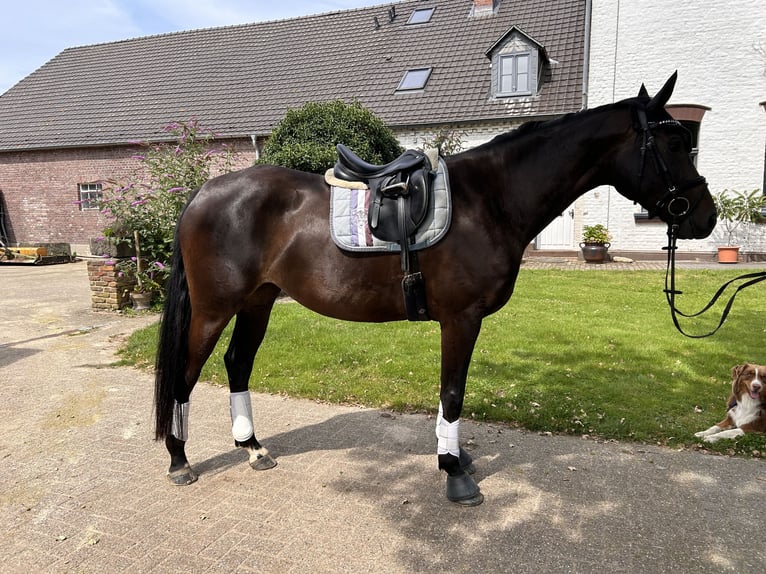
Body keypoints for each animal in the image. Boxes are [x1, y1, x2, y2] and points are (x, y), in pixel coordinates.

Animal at [154, 73, 720, 508]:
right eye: (675, 144)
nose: (706, 217)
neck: (489, 200)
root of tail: (201, 192)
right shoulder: (460, 318)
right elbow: (452, 393)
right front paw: (454, 471)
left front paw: (456, 458)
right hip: (214, 308)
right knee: (185, 374)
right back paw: (180, 461)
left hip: (259, 302)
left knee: (237, 364)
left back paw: (253, 449)